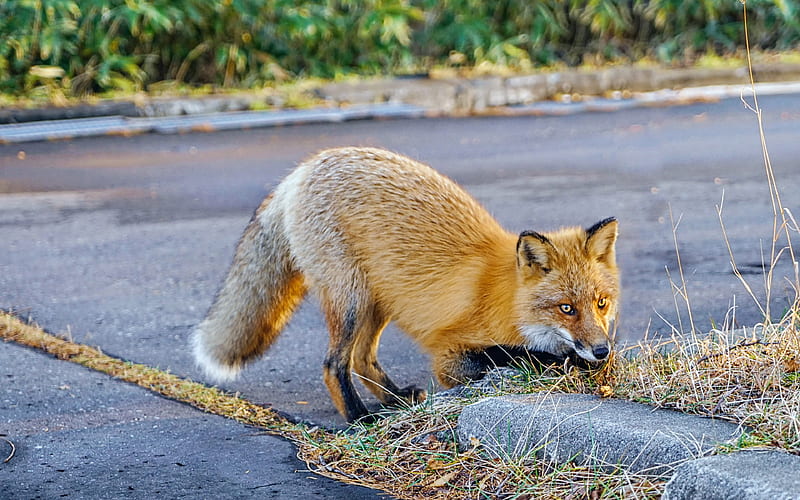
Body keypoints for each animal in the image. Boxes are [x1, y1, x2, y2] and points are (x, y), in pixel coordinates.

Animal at [192, 146, 620, 422]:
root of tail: (305, 167)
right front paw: (559, 361)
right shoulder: (451, 356)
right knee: (334, 364)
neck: (507, 300)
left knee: (362, 360)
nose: (601, 350)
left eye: (601, 303)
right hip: (350, 300)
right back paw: (360, 419)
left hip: (379, 300)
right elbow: (516, 356)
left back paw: (396, 399)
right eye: (566, 308)